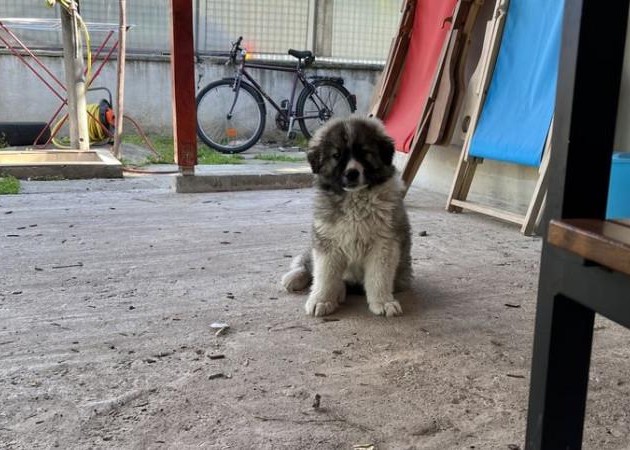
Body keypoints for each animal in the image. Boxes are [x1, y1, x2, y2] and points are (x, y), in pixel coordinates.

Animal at [282, 116, 412, 317]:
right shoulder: (327, 241)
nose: (352, 173)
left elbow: (379, 277)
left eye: (365, 153)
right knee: (307, 265)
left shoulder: (384, 244)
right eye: (336, 155)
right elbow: (325, 275)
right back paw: (294, 278)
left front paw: (383, 302)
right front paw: (321, 300)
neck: (355, 200)